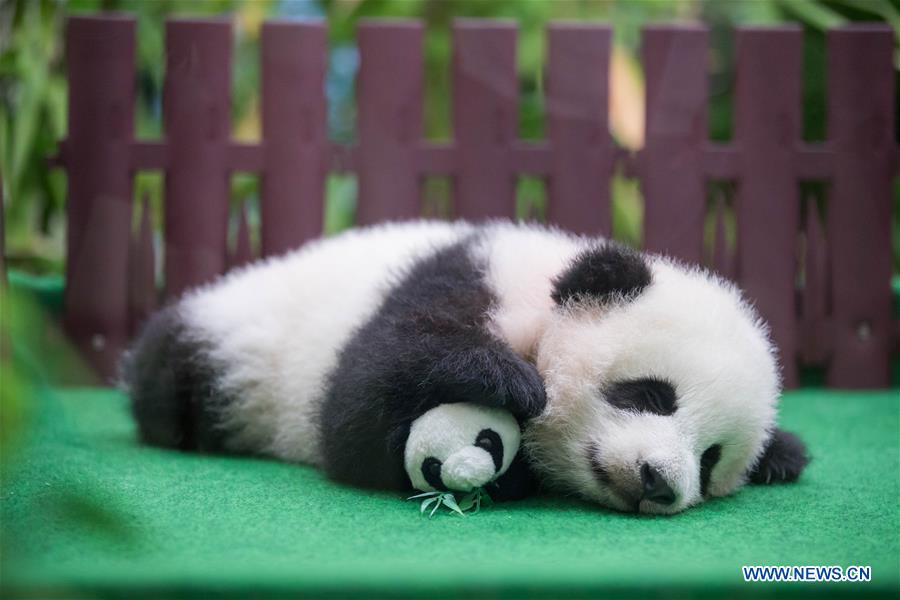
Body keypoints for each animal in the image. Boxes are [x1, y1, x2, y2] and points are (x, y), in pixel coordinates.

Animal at [125, 218, 808, 512]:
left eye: (710, 459)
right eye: (649, 395)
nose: (660, 482)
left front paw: (783, 456)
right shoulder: (467, 277)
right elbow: (355, 408)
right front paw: (507, 382)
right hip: (238, 345)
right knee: (176, 380)